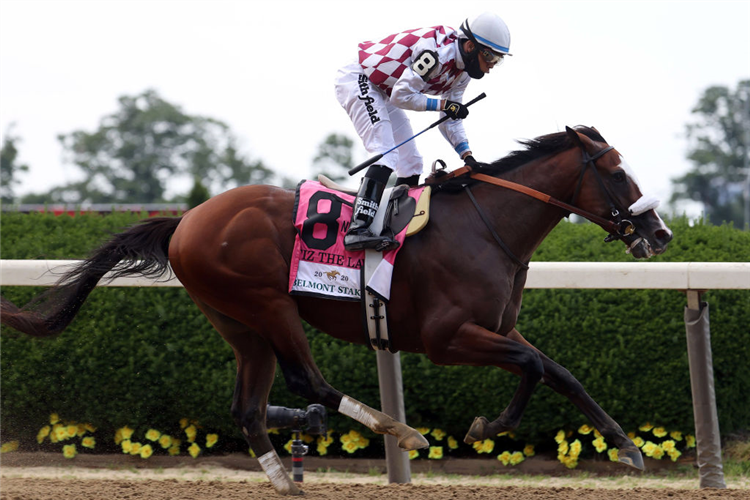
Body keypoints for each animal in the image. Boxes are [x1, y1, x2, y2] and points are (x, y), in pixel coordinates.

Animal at [0, 127, 668, 494]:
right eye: (616, 171)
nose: (658, 232)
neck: (486, 227)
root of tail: (187, 219)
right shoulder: (448, 338)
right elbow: (531, 369)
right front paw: (487, 427)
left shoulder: (500, 328)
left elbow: (560, 372)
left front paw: (627, 447)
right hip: (268, 304)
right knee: (307, 381)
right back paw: (399, 430)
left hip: (237, 322)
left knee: (246, 406)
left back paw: (282, 479)